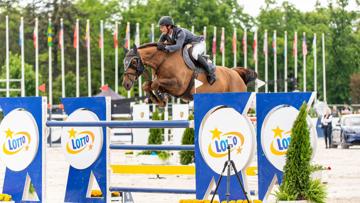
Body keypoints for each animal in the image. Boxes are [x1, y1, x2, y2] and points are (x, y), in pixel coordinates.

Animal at [122, 42, 258, 107]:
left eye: (133, 62)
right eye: (124, 62)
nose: (126, 84)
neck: (164, 60)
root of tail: (236, 74)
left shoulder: (178, 86)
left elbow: (155, 83)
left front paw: (161, 98)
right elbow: (147, 85)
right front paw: (158, 100)